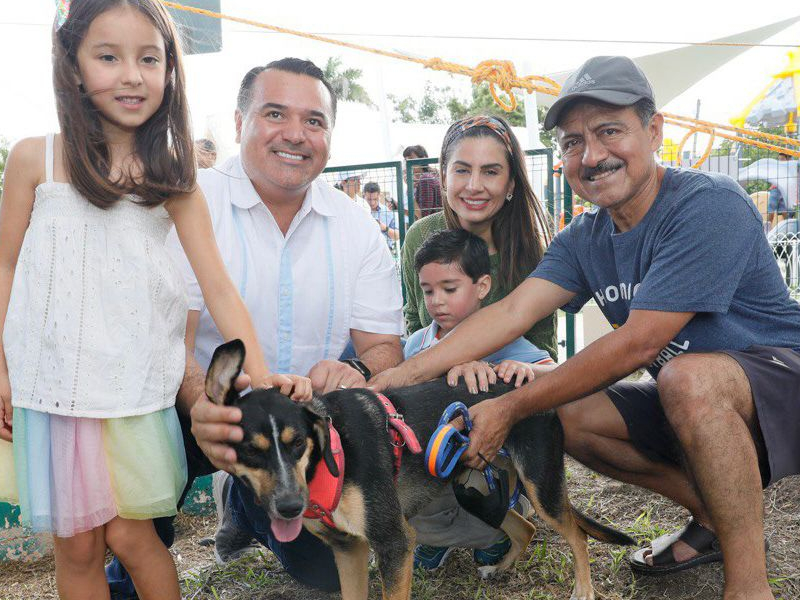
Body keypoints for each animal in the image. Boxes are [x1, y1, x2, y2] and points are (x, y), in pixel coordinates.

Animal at [205, 342, 632, 600]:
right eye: (250, 449)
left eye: (297, 443)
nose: (290, 507)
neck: (328, 456)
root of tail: (529, 378)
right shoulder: (349, 548)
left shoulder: (395, 542)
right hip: (476, 491)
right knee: (523, 527)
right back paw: (501, 567)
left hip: (539, 485)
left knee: (576, 534)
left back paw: (583, 589)